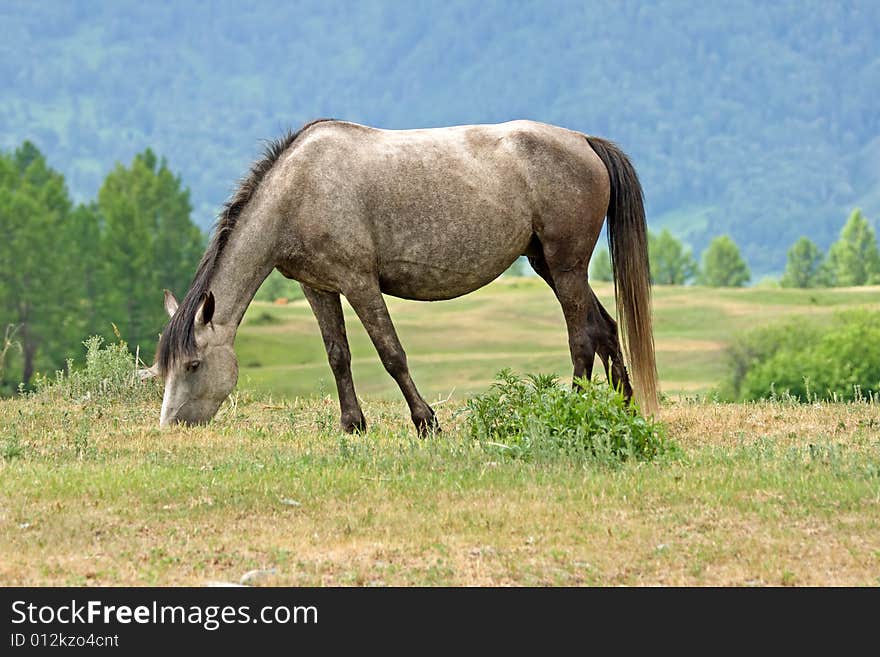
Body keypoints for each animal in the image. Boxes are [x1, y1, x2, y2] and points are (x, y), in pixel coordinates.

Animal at [151, 120, 656, 434]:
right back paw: (625, 407)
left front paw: (426, 422)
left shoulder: (359, 282)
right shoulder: (318, 288)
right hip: (547, 265)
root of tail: (584, 140)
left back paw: (575, 406)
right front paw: (352, 425)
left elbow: (391, 354)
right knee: (604, 328)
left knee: (581, 337)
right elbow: (338, 356)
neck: (298, 190)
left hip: (565, 265)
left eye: (192, 365)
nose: (172, 427)